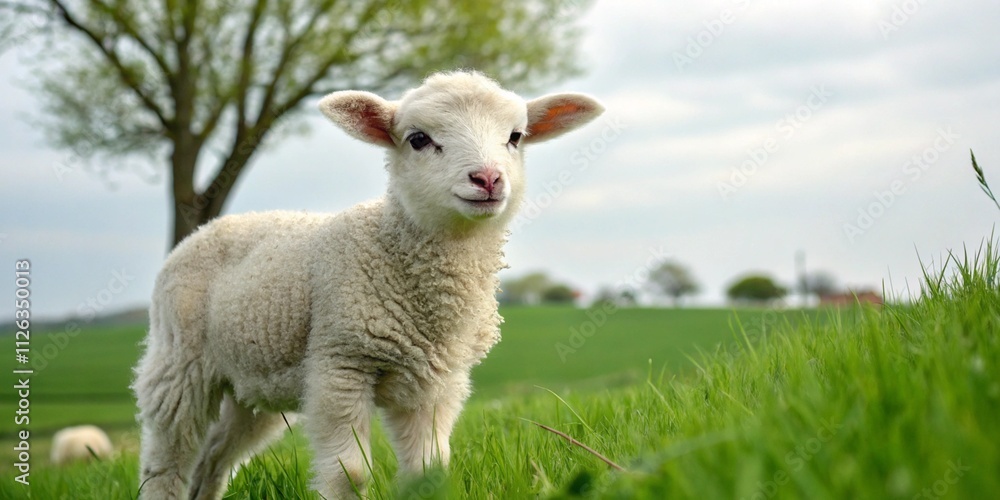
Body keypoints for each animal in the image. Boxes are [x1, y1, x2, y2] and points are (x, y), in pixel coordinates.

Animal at [132, 70, 603, 499]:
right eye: (418, 139)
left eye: (516, 136)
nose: (487, 179)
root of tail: (206, 228)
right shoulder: (341, 364)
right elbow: (350, 475)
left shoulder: (437, 381)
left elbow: (429, 470)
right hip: (179, 363)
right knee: (166, 462)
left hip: (252, 384)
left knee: (213, 458)